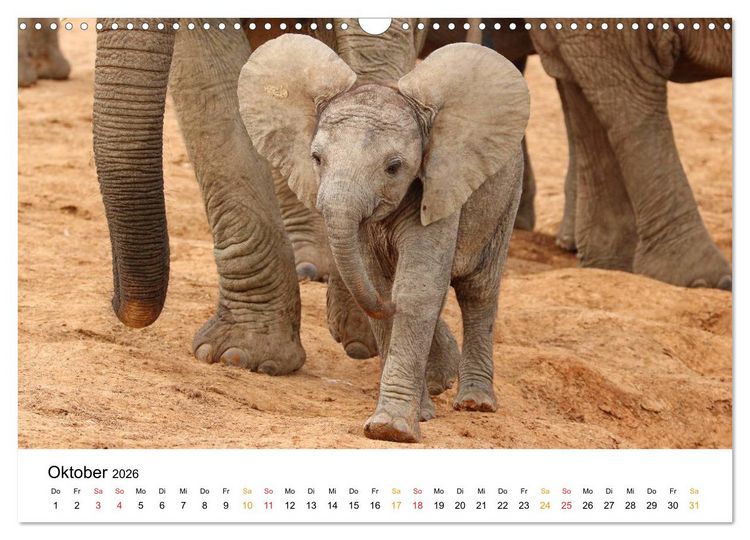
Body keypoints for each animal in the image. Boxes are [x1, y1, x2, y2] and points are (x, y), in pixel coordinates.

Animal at [238, 34, 529, 442]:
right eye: (316, 159)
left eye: (394, 168)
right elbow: (377, 283)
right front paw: (417, 415)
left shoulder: (438, 188)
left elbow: (416, 290)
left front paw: (392, 429)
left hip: (505, 197)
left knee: (479, 292)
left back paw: (476, 403)